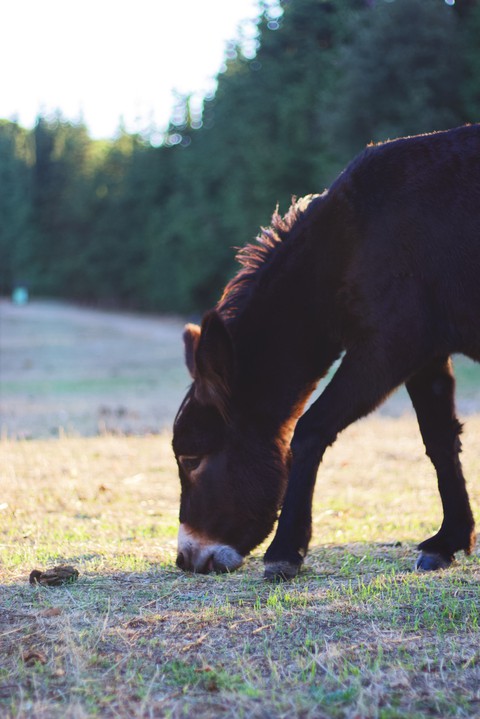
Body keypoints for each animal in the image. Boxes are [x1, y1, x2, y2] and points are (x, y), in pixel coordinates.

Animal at [172, 123, 479, 580]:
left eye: (191, 459)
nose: (187, 559)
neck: (353, 240)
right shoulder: (426, 355)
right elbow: (439, 439)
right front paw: (449, 540)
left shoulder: (390, 346)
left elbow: (311, 429)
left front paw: (285, 551)